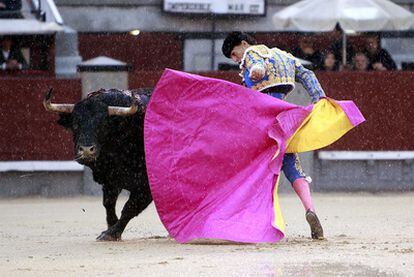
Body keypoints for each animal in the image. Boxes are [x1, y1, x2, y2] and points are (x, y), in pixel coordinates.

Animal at [44, 88, 154, 239]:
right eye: (75, 124)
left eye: (103, 125)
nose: (86, 150)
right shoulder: (111, 179)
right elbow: (108, 203)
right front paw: (111, 227)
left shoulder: (145, 187)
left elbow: (129, 208)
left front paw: (111, 233)